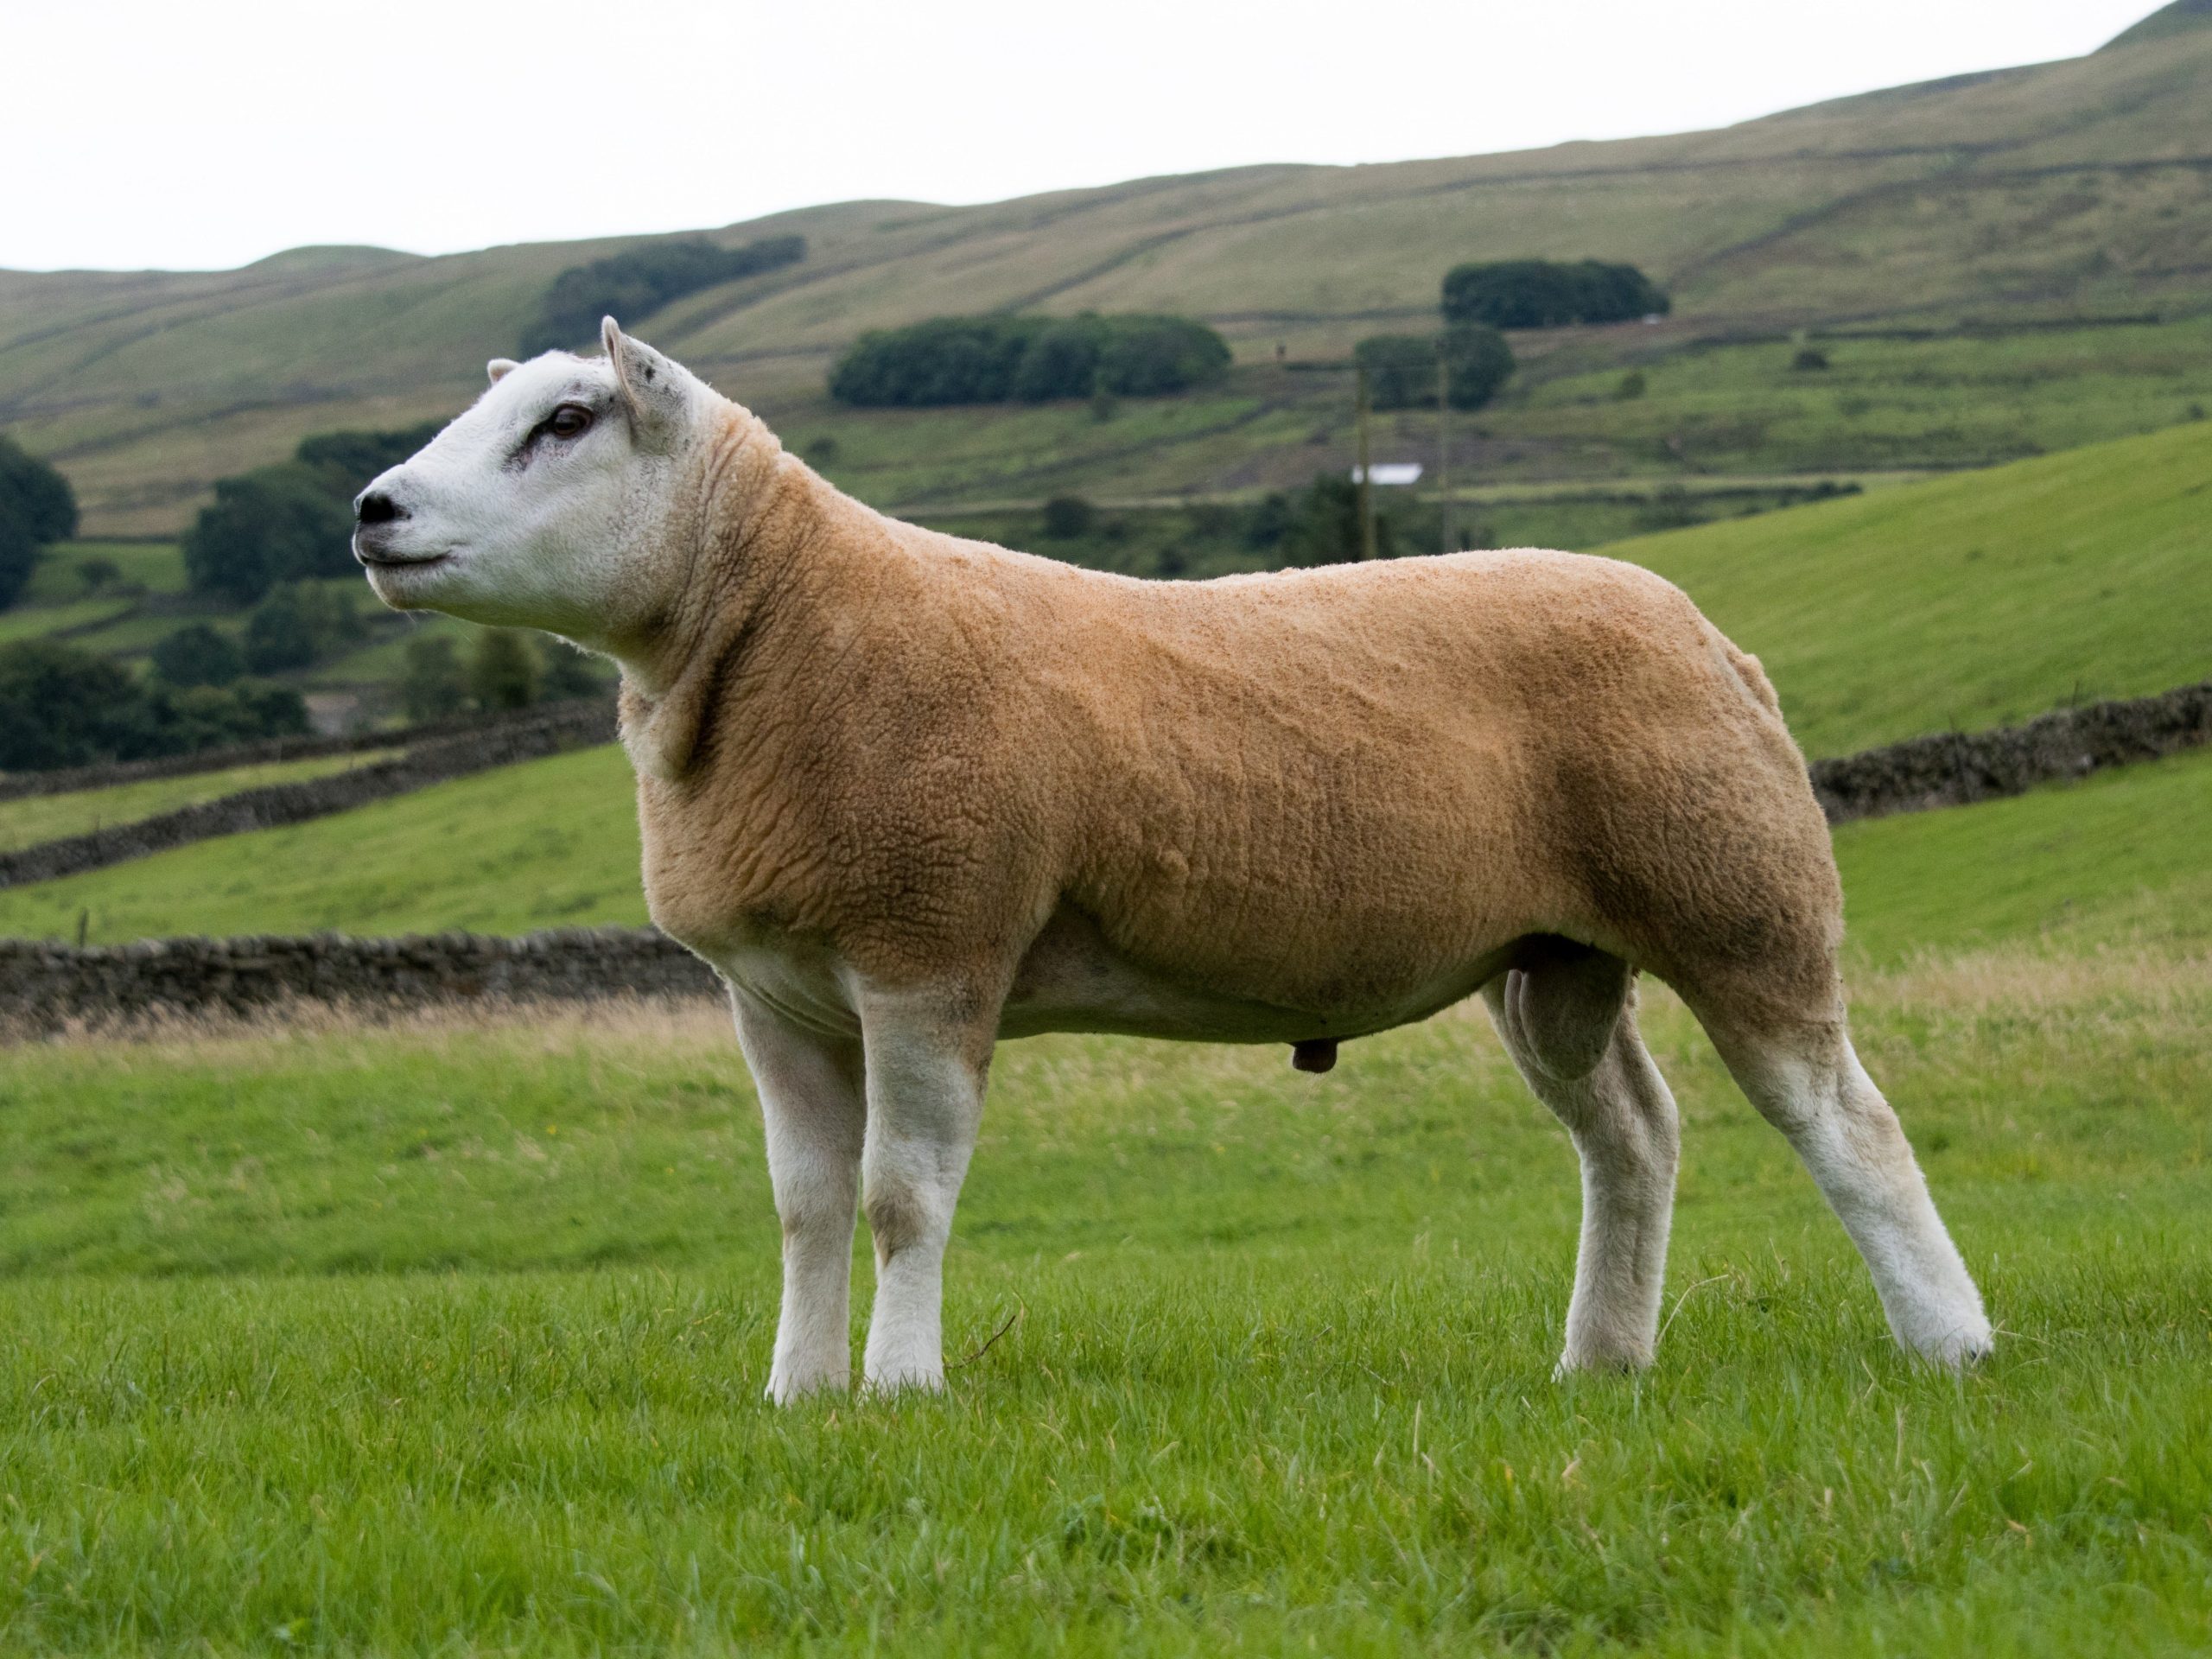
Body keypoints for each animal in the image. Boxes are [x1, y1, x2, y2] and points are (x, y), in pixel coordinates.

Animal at [353, 318, 1999, 1397]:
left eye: (568, 423)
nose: (373, 510)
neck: (773, 635)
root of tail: (1709, 633)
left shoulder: (931, 945)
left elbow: (901, 1198)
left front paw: (899, 1390)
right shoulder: (774, 993)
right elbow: (808, 1207)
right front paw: (798, 1396)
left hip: (1736, 898)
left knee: (1845, 1121)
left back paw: (1951, 1343)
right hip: (1554, 956)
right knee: (1634, 1140)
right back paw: (1601, 1363)